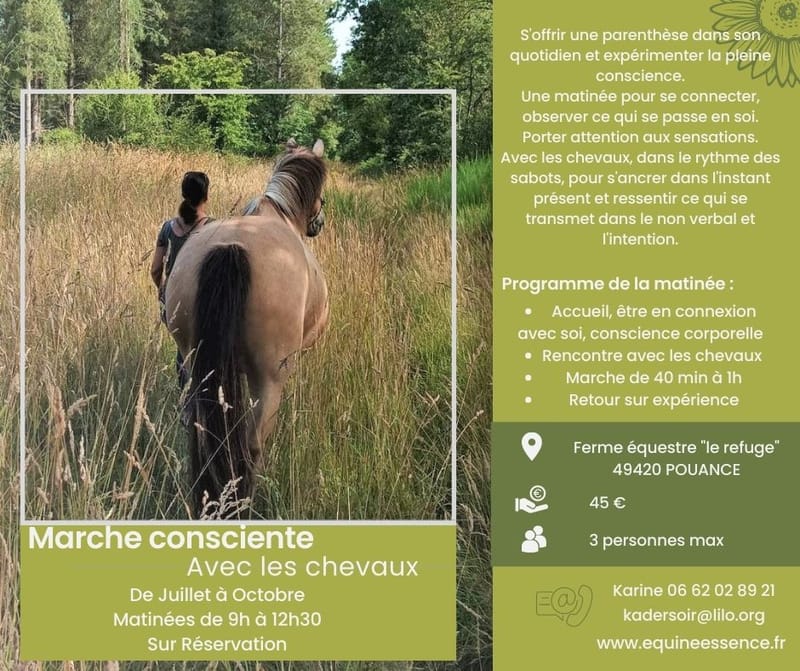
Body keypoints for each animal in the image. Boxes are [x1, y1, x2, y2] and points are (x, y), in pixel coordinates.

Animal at [164, 139, 329, 517]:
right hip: (267, 381)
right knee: (252, 445)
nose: (319, 223)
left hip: (195, 365)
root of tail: (232, 247)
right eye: (322, 198)